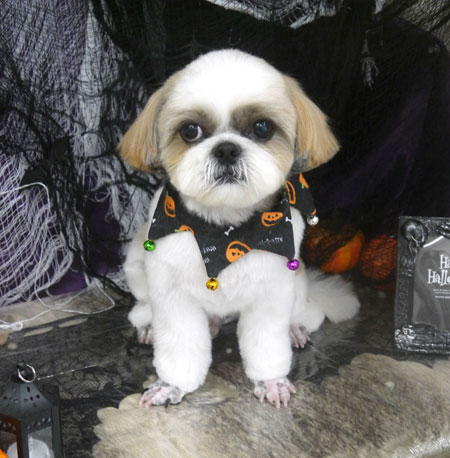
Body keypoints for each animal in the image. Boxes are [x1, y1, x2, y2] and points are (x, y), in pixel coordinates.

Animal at [120, 49, 360, 408]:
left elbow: (267, 345)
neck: (224, 234)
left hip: (297, 281)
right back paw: (150, 326)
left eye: (262, 128)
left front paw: (271, 382)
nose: (227, 149)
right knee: (141, 309)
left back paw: (295, 329)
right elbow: (179, 347)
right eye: (190, 131)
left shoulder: (271, 294)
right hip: (136, 263)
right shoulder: (173, 296)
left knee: (308, 313)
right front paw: (171, 385)